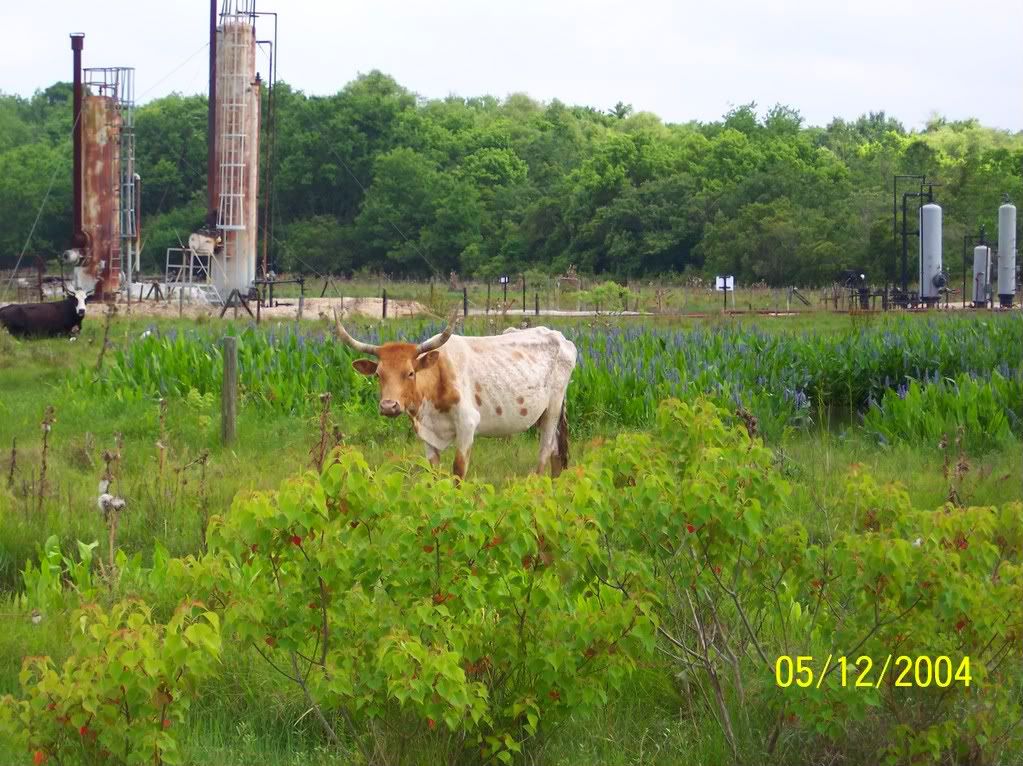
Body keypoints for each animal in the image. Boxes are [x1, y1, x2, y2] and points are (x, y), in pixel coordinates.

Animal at [335, 310, 576, 478]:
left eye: (410, 372)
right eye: (378, 374)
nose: (388, 406)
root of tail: (560, 338)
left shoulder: (467, 425)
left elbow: (458, 470)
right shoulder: (426, 432)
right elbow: (433, 471)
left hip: (553, 408)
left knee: (545, 451)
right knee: (556, 453)